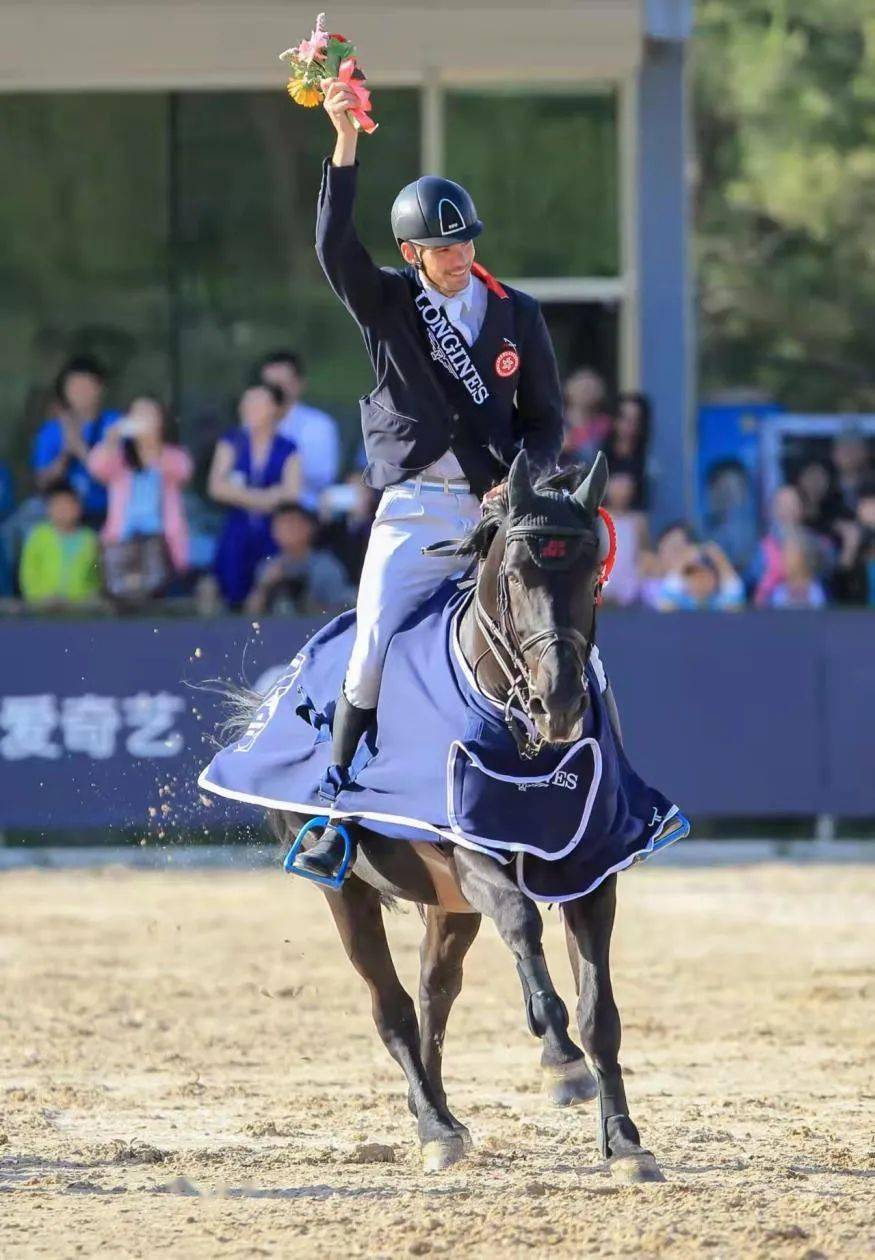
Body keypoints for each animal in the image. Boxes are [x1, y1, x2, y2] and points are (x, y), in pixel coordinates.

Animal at [216, 451, 667, 1182]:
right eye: (515, 576)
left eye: (591, 576)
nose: (560, 703)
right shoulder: (469, 852)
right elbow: (521, 921)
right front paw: (560, 1059)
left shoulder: (593, 870)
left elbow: (601, 1012)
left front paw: (624, 1142)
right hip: (348, 893)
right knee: (392, 1006)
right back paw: (432, 1122)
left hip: (448, 904)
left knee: (434, 993)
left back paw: (438, 1118)